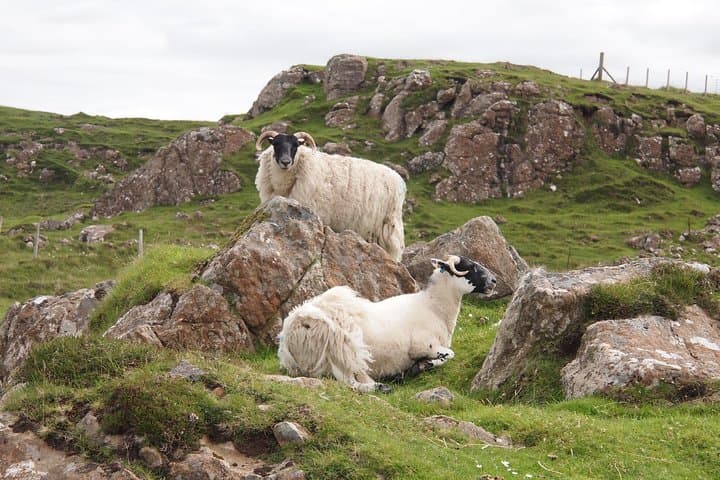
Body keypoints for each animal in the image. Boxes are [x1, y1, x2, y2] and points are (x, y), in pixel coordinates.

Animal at [277, 255, 497, 392]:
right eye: (470, 267)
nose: (494, 281)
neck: (433, 308)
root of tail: (291, 328)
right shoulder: (423, 345)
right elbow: (449, 354)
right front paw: (420, 366)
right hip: (341, 346)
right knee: (348, 382)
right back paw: (380, 386)